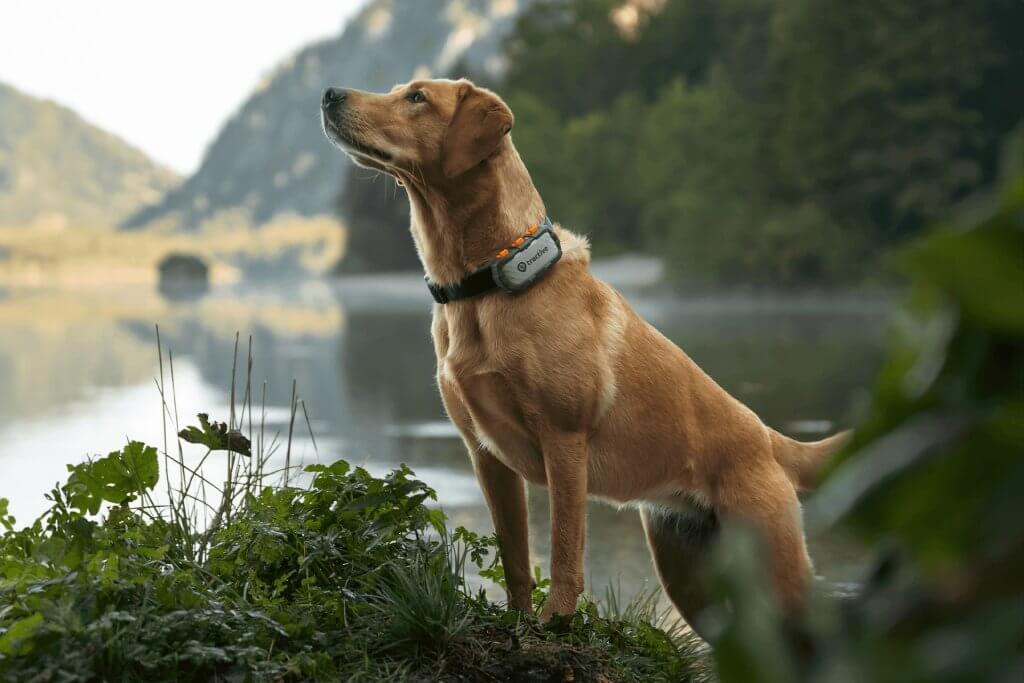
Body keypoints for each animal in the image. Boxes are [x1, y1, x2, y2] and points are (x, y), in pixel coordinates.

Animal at [321, 78, 847, 634]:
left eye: (417, 98)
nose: (330, 94)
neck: (488, 282)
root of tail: (769, 439)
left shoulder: (564, 439)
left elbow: (564, 551)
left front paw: (555, 620)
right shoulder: (486, 455)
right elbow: (515, 555)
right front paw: (518, 621)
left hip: (776, 568)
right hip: (687, 578)